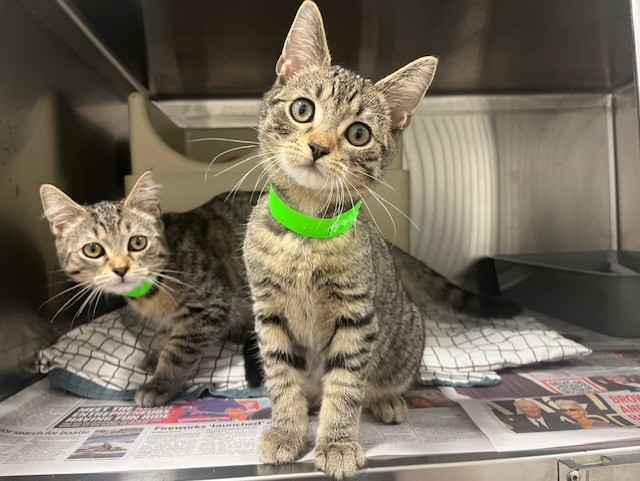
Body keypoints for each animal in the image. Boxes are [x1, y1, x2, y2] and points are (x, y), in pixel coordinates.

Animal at [39, 171, 256, 407]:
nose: (121, 269)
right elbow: (167, 335)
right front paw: (157, 353)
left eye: (137, 242)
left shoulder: (212, 304)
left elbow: (179, 349)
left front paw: (161, 383)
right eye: (93, 249)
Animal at [241, 1, 443, 478]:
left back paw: (388, 401)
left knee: (381, 383)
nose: (318, 146)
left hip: (407, 335)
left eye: (358, 134)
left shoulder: (356, 318)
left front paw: (335, 442)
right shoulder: (269, 313)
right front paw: (287, 430)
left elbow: (346, 386)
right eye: (302, 109)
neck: (306, 233)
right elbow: (282, 378)